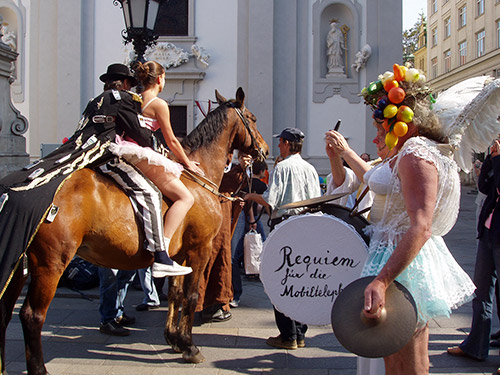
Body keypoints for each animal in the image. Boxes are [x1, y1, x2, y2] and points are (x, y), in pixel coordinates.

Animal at [0, 89, 270, 375]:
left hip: (20, 266)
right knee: (32, 315)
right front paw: (189, 345)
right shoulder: (200, 249)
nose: (264, 150)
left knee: (4, 312)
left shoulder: (179, 255)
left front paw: (174, 339)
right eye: (252, 118)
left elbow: (175, 294)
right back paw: (39, 368)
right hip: (50, 264)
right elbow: (191, 295)